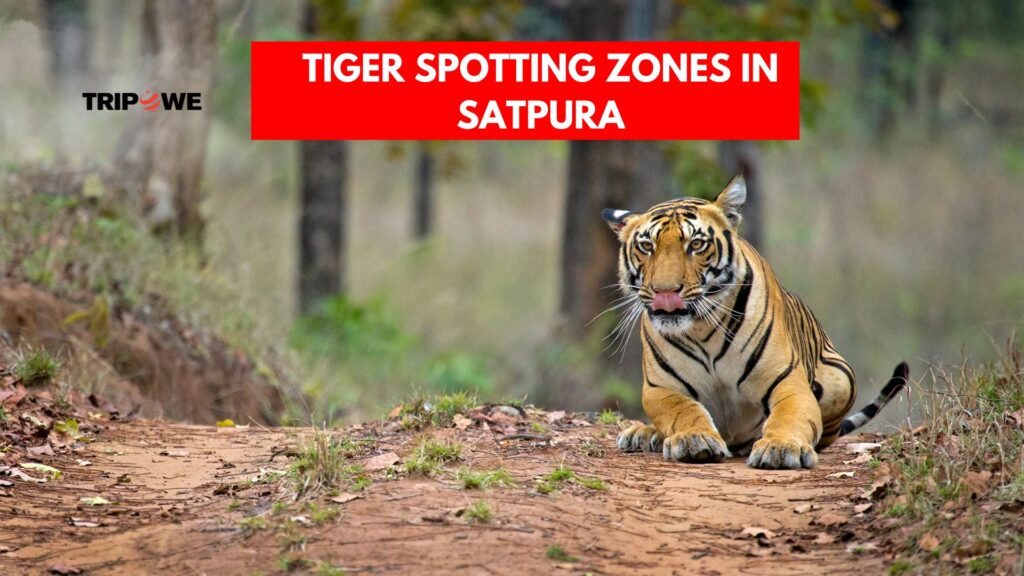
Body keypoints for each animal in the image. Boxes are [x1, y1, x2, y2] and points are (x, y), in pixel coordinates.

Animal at [603, 176, 908, 469]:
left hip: (841, 380)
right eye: (646, 247)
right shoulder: (661, 388)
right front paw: (694, 438)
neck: (702, 329)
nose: (665, 292)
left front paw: (781, 447)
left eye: (696, 244)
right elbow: (684, 411)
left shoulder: (789, 382)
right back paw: (643, 434)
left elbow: (789, 416)